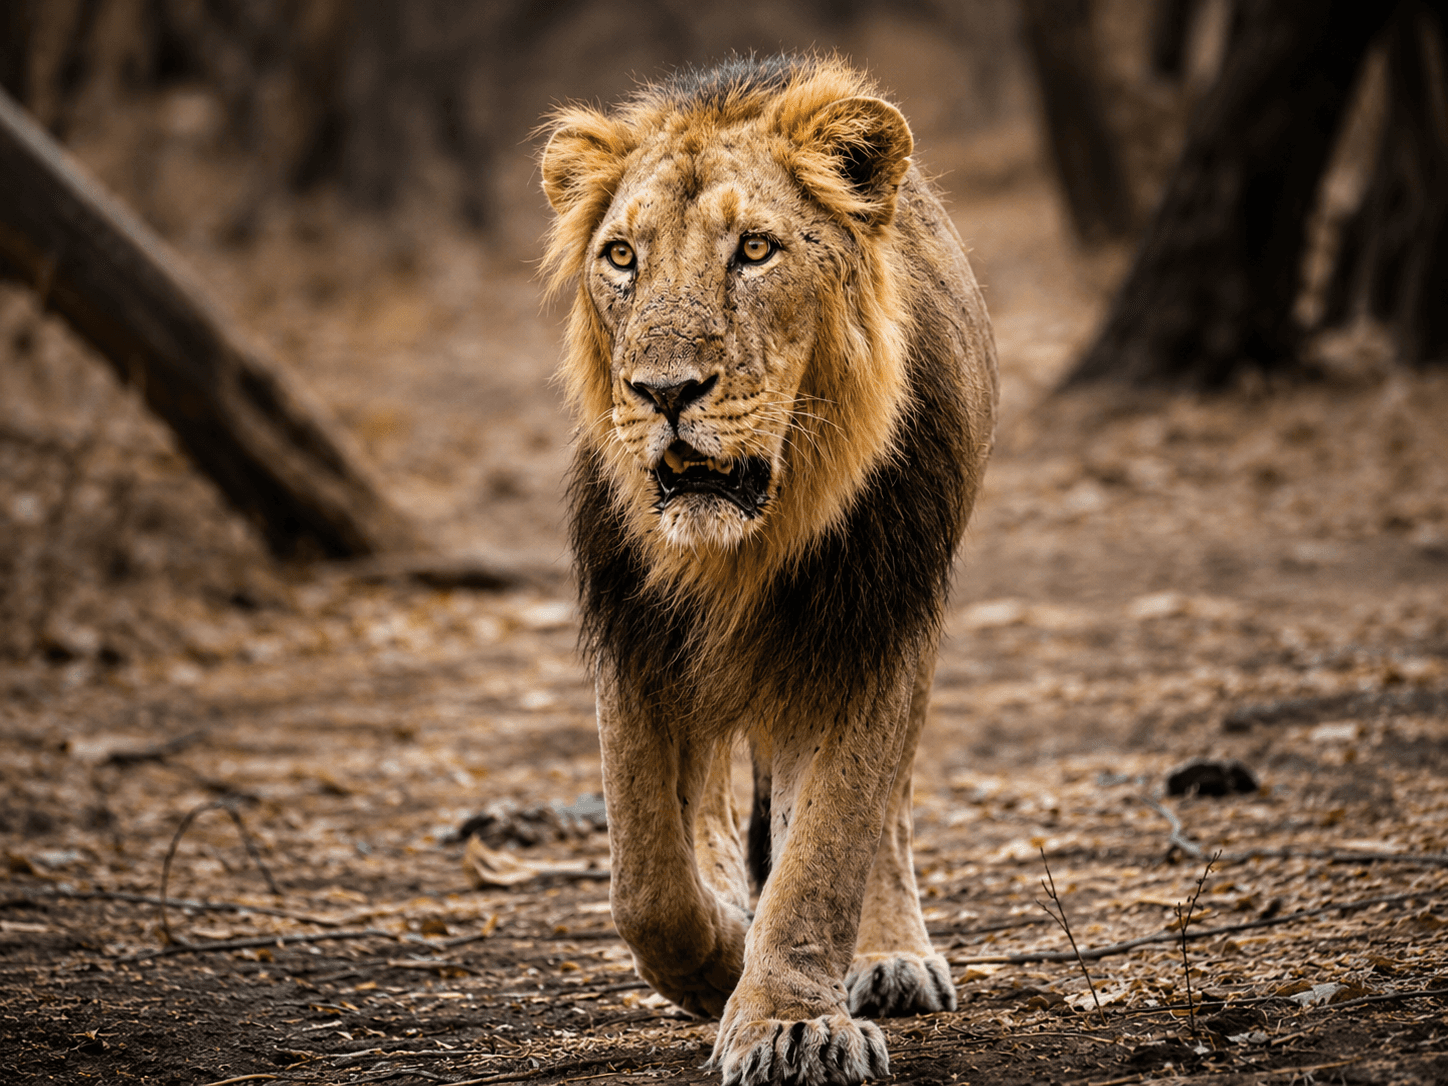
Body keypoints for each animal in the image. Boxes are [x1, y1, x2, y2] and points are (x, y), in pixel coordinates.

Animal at [540, 55, 997, 1086]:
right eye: (621, 257)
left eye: (755, 250)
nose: (664, 392)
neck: (741, 552)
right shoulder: (633, 626)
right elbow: (645, 877)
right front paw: (718, 964)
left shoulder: (871, 624)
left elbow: (828, 843)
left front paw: (789, 1018)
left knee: (884, 810)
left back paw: (888, 955)